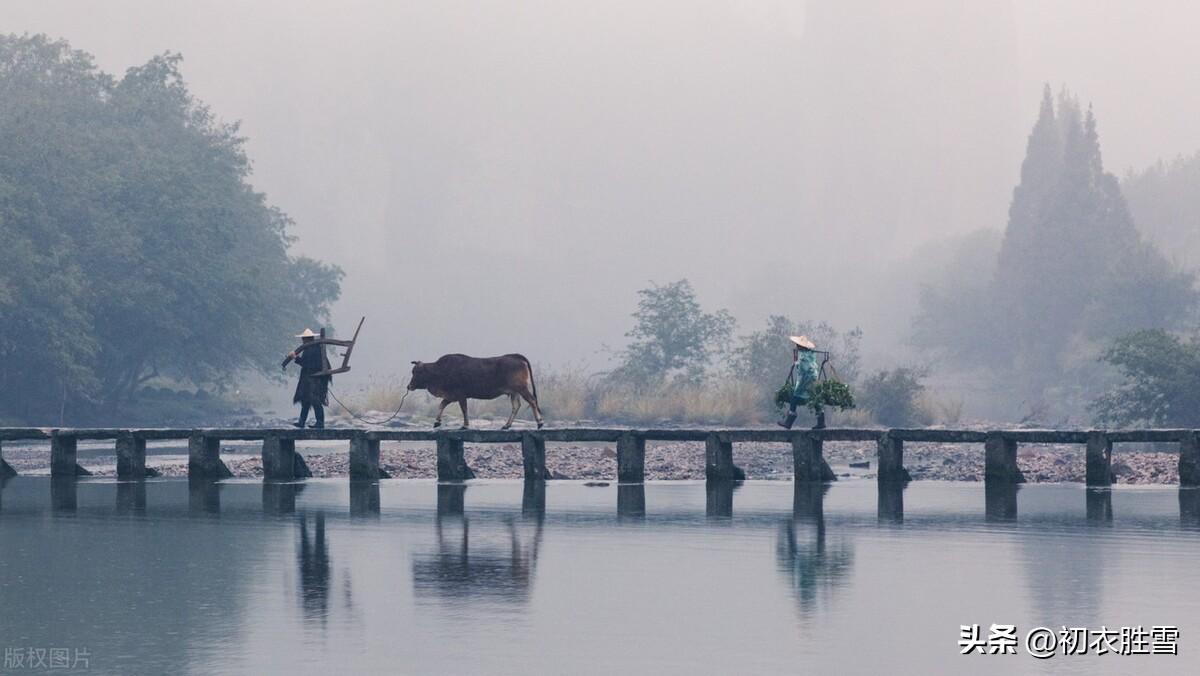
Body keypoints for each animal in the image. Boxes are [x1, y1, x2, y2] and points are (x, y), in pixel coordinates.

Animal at [410, 355, 547, 427]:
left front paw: (465, 425)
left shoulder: (460, 395)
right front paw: (437, 421)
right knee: (516, 406)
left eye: (417, 372)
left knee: (532, 401)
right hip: (514, 392)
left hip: (522, 388)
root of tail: (515, 356)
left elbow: (464, 409)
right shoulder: (451, 396)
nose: (409, 386)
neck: (440, 370)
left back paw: (539, 422)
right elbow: (441, 405)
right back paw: (506, 425)